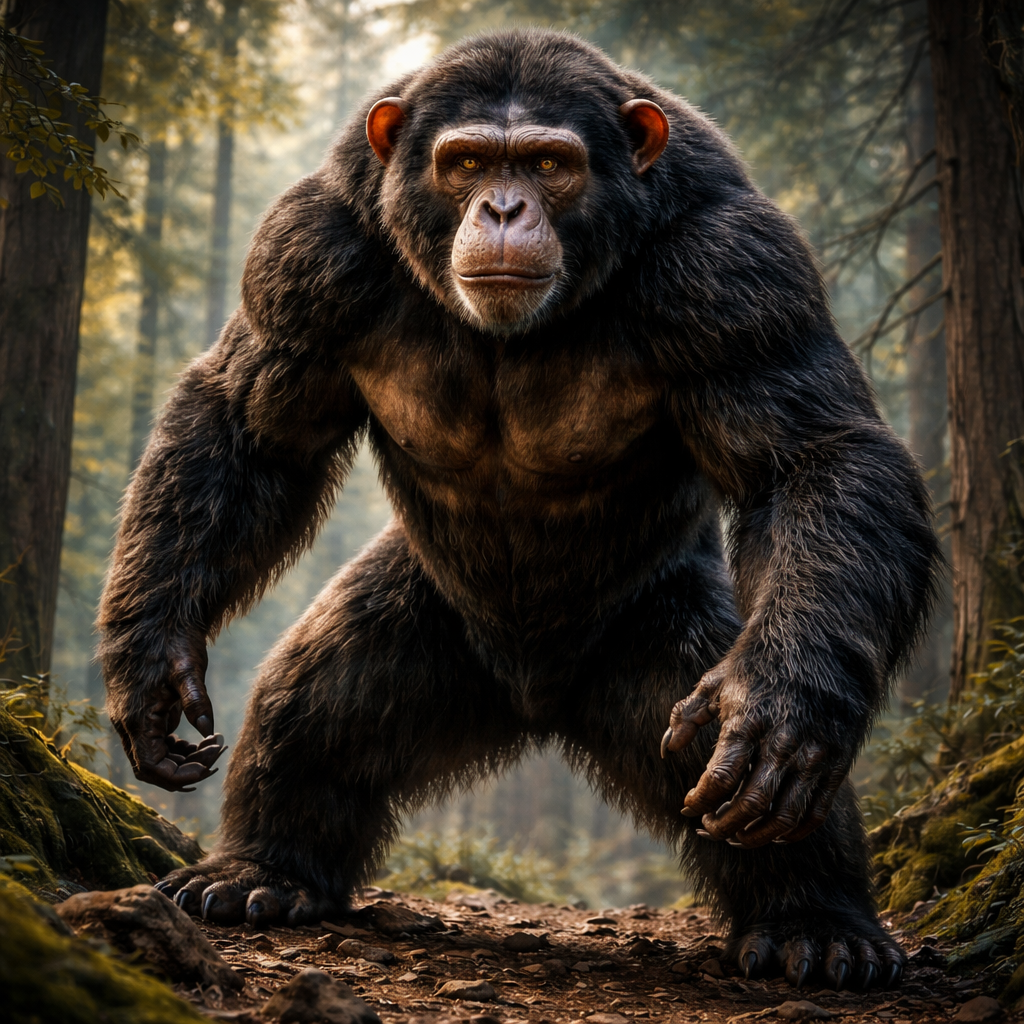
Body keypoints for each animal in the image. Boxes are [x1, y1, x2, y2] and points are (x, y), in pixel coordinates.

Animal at [98, 29, 939, 991]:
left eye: (547, 163)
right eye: (466, 162)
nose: (503, 207)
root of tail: (537, 700)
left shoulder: (738, 267)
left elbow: (812, 456)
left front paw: (782, 712)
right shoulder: (307, 251)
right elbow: (248, 427)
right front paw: (150, 660)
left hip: (665, 651)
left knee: (738, 756)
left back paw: (816, 919)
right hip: (424, 628)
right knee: (313, 707)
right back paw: (262, 868)